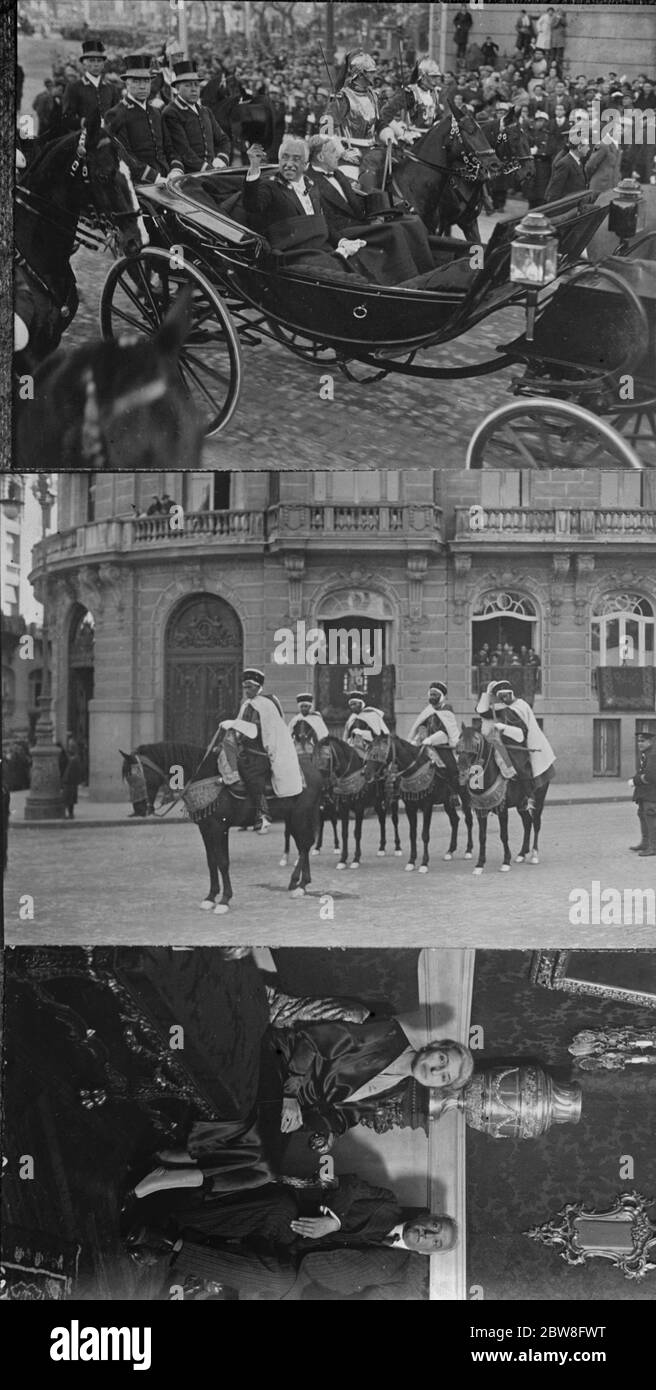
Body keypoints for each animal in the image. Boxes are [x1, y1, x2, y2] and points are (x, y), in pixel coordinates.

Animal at [120, 739, 325, 911]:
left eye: (135, 777)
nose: (139, 809)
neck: (204, 776)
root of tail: (315, 771)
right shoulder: (205, 828)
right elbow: (212, 862)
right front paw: (210, 897)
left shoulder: (220, 828)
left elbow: (223, 862)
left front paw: (225, 900)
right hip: (293, 818)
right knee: (303, 845)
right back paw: (301, 883)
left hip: (300, 816)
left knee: (305, 845)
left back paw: (298, 885)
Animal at [315, 739, 403, 867]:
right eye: (314, 757)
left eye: (327, 757)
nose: (321, 784)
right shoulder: (343, 807)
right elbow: (344, 832)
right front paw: (342, 859)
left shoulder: (359, 808)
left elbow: (357, 832)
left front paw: (356, 859)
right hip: (377, 802)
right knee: (382, 820)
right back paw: (381, 848)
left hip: (393, 797)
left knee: (395, 820)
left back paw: (397, 847)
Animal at [364, 733, 472, 872]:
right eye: (368, 749)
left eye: (380, 752)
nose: (366, 773)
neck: (415, 769)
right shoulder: (410, 807)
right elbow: (412, 834)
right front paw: (411, 861)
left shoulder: (427, 806)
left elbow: (424, 834)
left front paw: (424, 863)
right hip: (447, 801)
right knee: (455, 820)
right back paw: (450, 851)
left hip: (464, 795)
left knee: (468, 820)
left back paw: (468, 850)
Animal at [455, 722, 553, 872]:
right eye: (459, 741)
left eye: (476, 743)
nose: (462, 770)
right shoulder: (481, 810)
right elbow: (482, 837)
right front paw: (480, 864)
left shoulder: (502, 809)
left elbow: (504, 835)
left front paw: (506, 861)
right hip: (521, 804)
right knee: (527, 822)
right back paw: (521, 853)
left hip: (538, 799)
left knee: (536, 823)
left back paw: (534, 855)